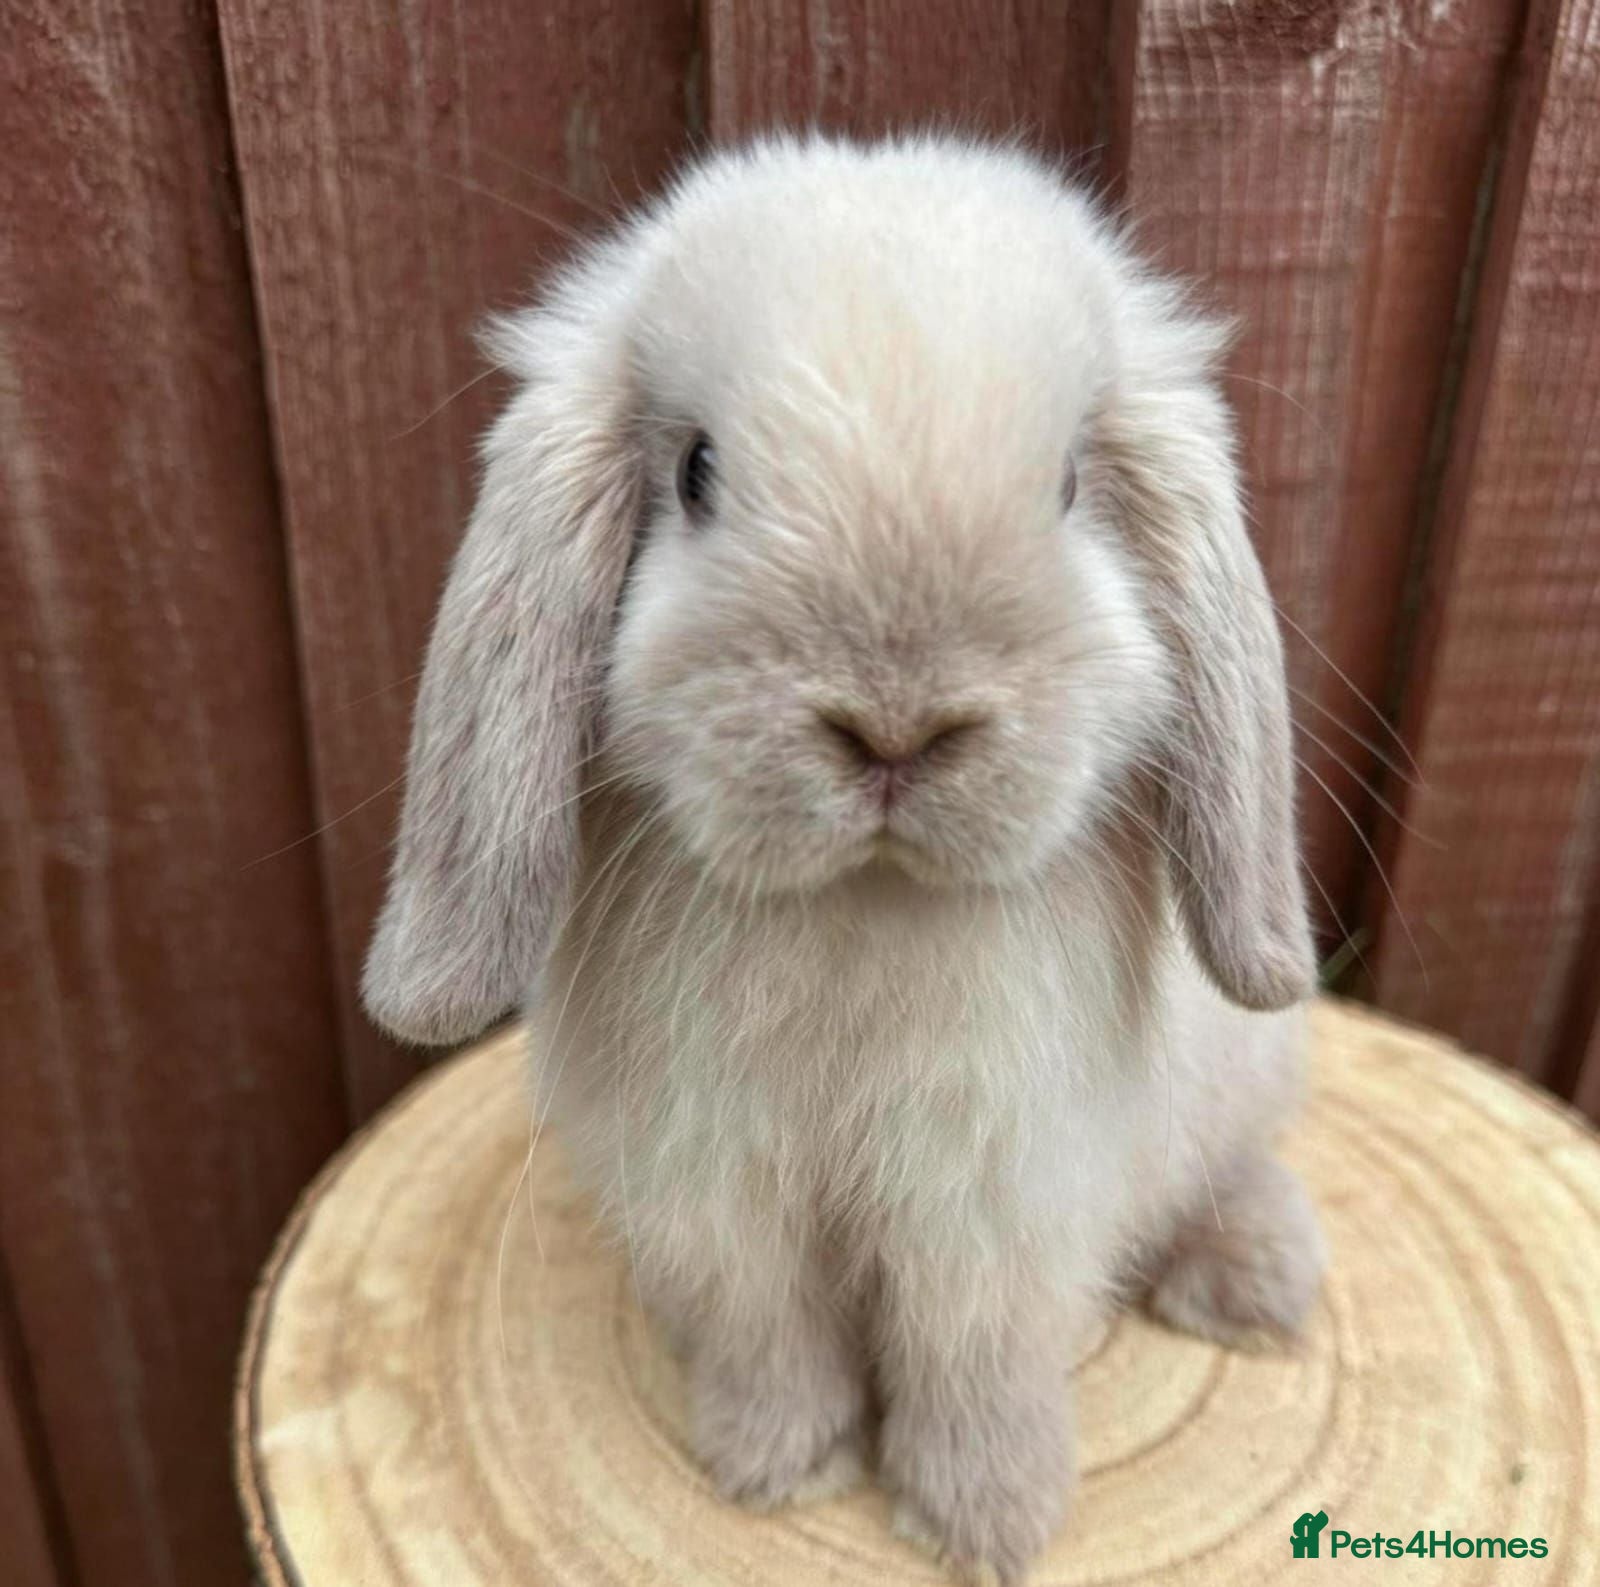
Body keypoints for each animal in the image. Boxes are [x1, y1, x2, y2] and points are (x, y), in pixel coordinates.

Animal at [363, 134, 1326, 1585]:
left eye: (1068, 485)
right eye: (697, 473)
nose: (894, 726)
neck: (862, 905)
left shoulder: (988, 1208)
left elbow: (974, 1366)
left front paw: (987, 1521)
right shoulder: (722, 1198)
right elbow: (769, 1338)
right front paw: (772, 1468)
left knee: (1226, 1177)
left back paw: (1262, 1284)